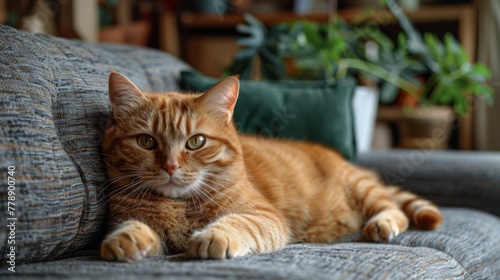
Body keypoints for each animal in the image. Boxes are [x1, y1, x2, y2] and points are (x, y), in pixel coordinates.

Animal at [98, 72, 442, 262]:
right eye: (146, 141)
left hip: (360, 189)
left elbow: (237, 222)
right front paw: (126, 238)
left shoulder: (264, 215)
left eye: (196, 142)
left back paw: (382, 224)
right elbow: (132, 227)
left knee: (392, 208)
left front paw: (214, 236)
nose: (170, 166)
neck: (179, 205)